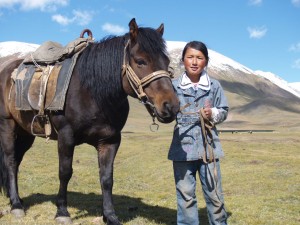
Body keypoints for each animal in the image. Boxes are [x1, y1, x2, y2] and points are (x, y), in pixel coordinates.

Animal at [0, 18, 178, 225]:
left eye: (167, 62)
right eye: (141, 61)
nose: (171, 106)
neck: (93, 92)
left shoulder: (110, 140)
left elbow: (107, 178)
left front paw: (110, 215)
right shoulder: (66, 137)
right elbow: (65, 172)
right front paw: (62, 212)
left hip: (27, 133)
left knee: (17, 161)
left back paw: (17, 199)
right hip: (8, 126)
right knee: (10, 160)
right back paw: (16, 205)